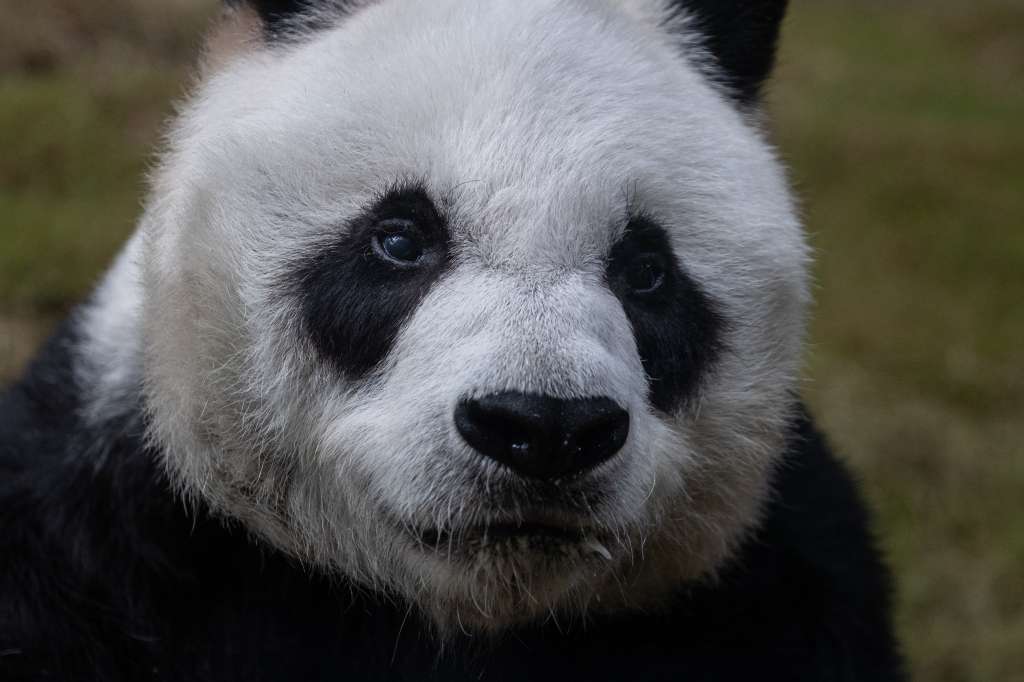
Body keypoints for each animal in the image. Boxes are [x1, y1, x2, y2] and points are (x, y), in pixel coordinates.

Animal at [0, 0, 906, 680]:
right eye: (402, 238)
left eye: (647, 270)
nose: (544, 429)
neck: (459, 614)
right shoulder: (101, 541)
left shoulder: (781, 597)